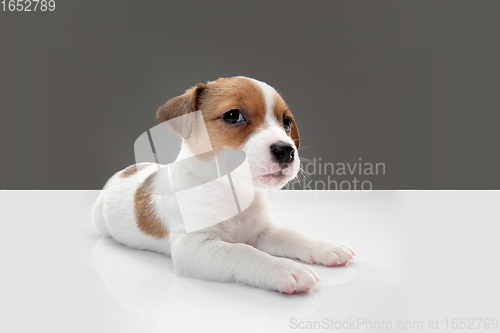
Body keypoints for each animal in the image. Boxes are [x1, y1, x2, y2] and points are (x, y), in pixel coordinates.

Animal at [92, 76, 354, 294]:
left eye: (287, 122)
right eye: (233, 116)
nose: (286, 151)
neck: (232, 193)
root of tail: (127, 170)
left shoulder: (262, 231)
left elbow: (291, 235)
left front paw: (325, 247)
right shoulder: (194, 247)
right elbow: (243, 251)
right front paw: (284, 268)